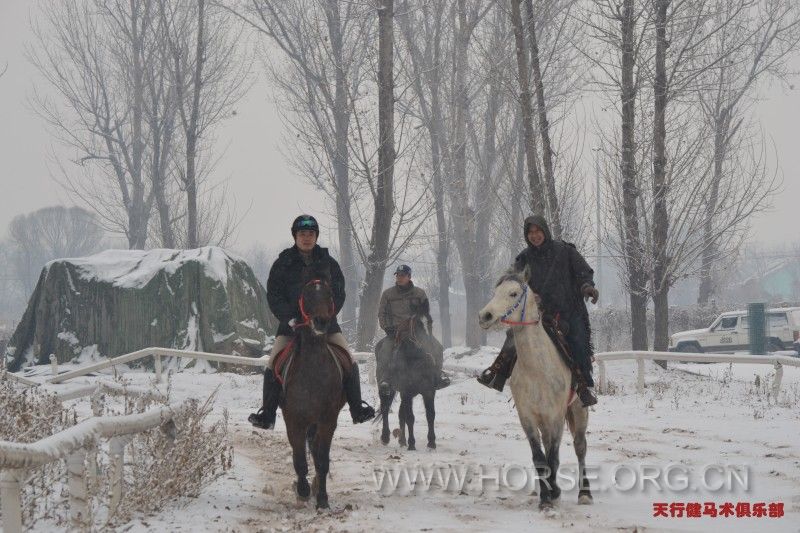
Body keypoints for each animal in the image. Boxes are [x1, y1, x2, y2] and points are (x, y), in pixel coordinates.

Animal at [282, 278, 344, 508]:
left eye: (329, 294)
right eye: (307, 295)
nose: (321, 322)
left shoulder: (328, 421)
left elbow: (322, 460)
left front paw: (322, 499)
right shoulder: (294, 421)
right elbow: (299, 459)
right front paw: (302, 490)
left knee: (316, 453)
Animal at [478, 268, 592, 510]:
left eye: (513, 293)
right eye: (496, 291)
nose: (485, 316)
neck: (538, 369)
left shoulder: (556, 416)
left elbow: (553, 457)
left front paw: (553, 496)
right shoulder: (528, 417)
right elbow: (540, 458)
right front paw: (546, 497)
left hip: (579, 410)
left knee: (580, 446)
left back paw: (585, 493)